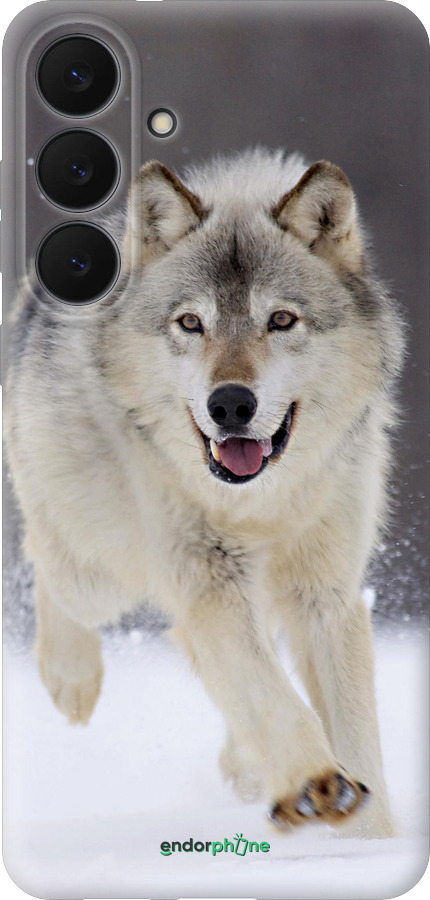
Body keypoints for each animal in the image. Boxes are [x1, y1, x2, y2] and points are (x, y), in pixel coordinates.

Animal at [4, 148, 403, 837]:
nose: (230, 404)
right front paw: (315, 783)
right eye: (191, 322)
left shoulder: (326, 594)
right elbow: (272, 696)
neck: (261, 503)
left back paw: (246, 766)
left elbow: (352, 732)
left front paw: (368, 835)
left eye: (281, 320)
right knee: (49, 565)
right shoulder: (209, 580)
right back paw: (71, 680)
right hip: (100, 573)